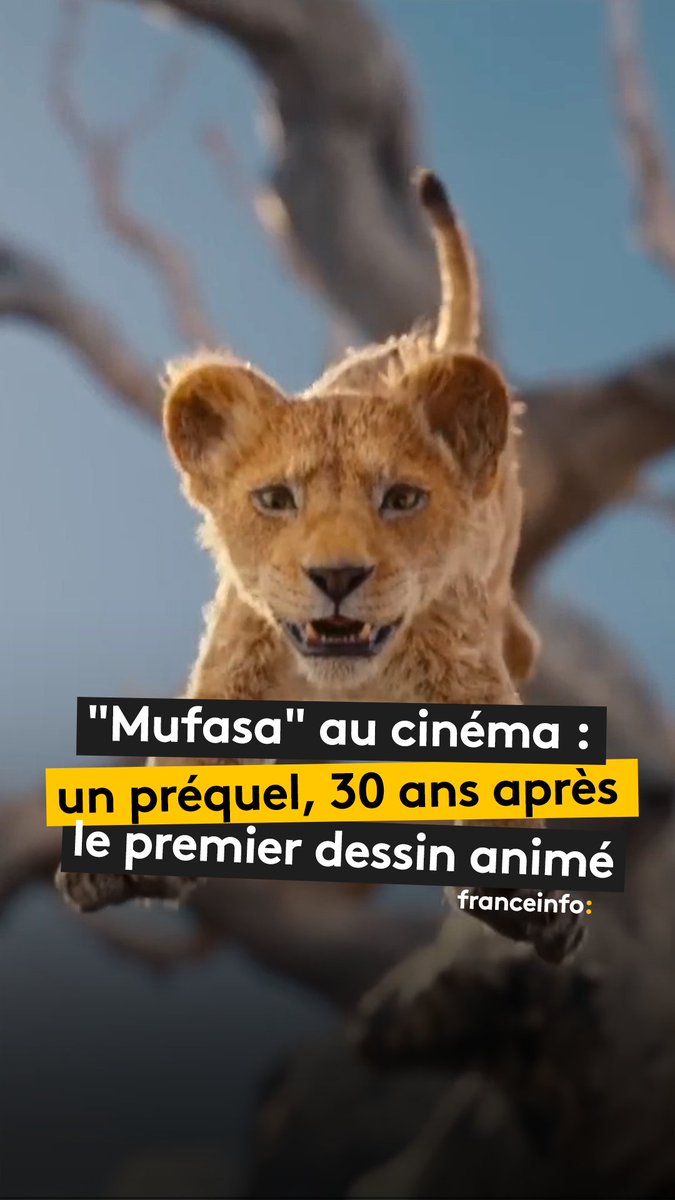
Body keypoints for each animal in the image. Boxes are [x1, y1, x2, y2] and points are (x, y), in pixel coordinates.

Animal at [56, 171, 581, 964]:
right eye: (276, 499)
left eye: (402, 498)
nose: (336, 578)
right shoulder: (230, 675)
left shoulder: (465, 665)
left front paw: (529, 901)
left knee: (520, 639)